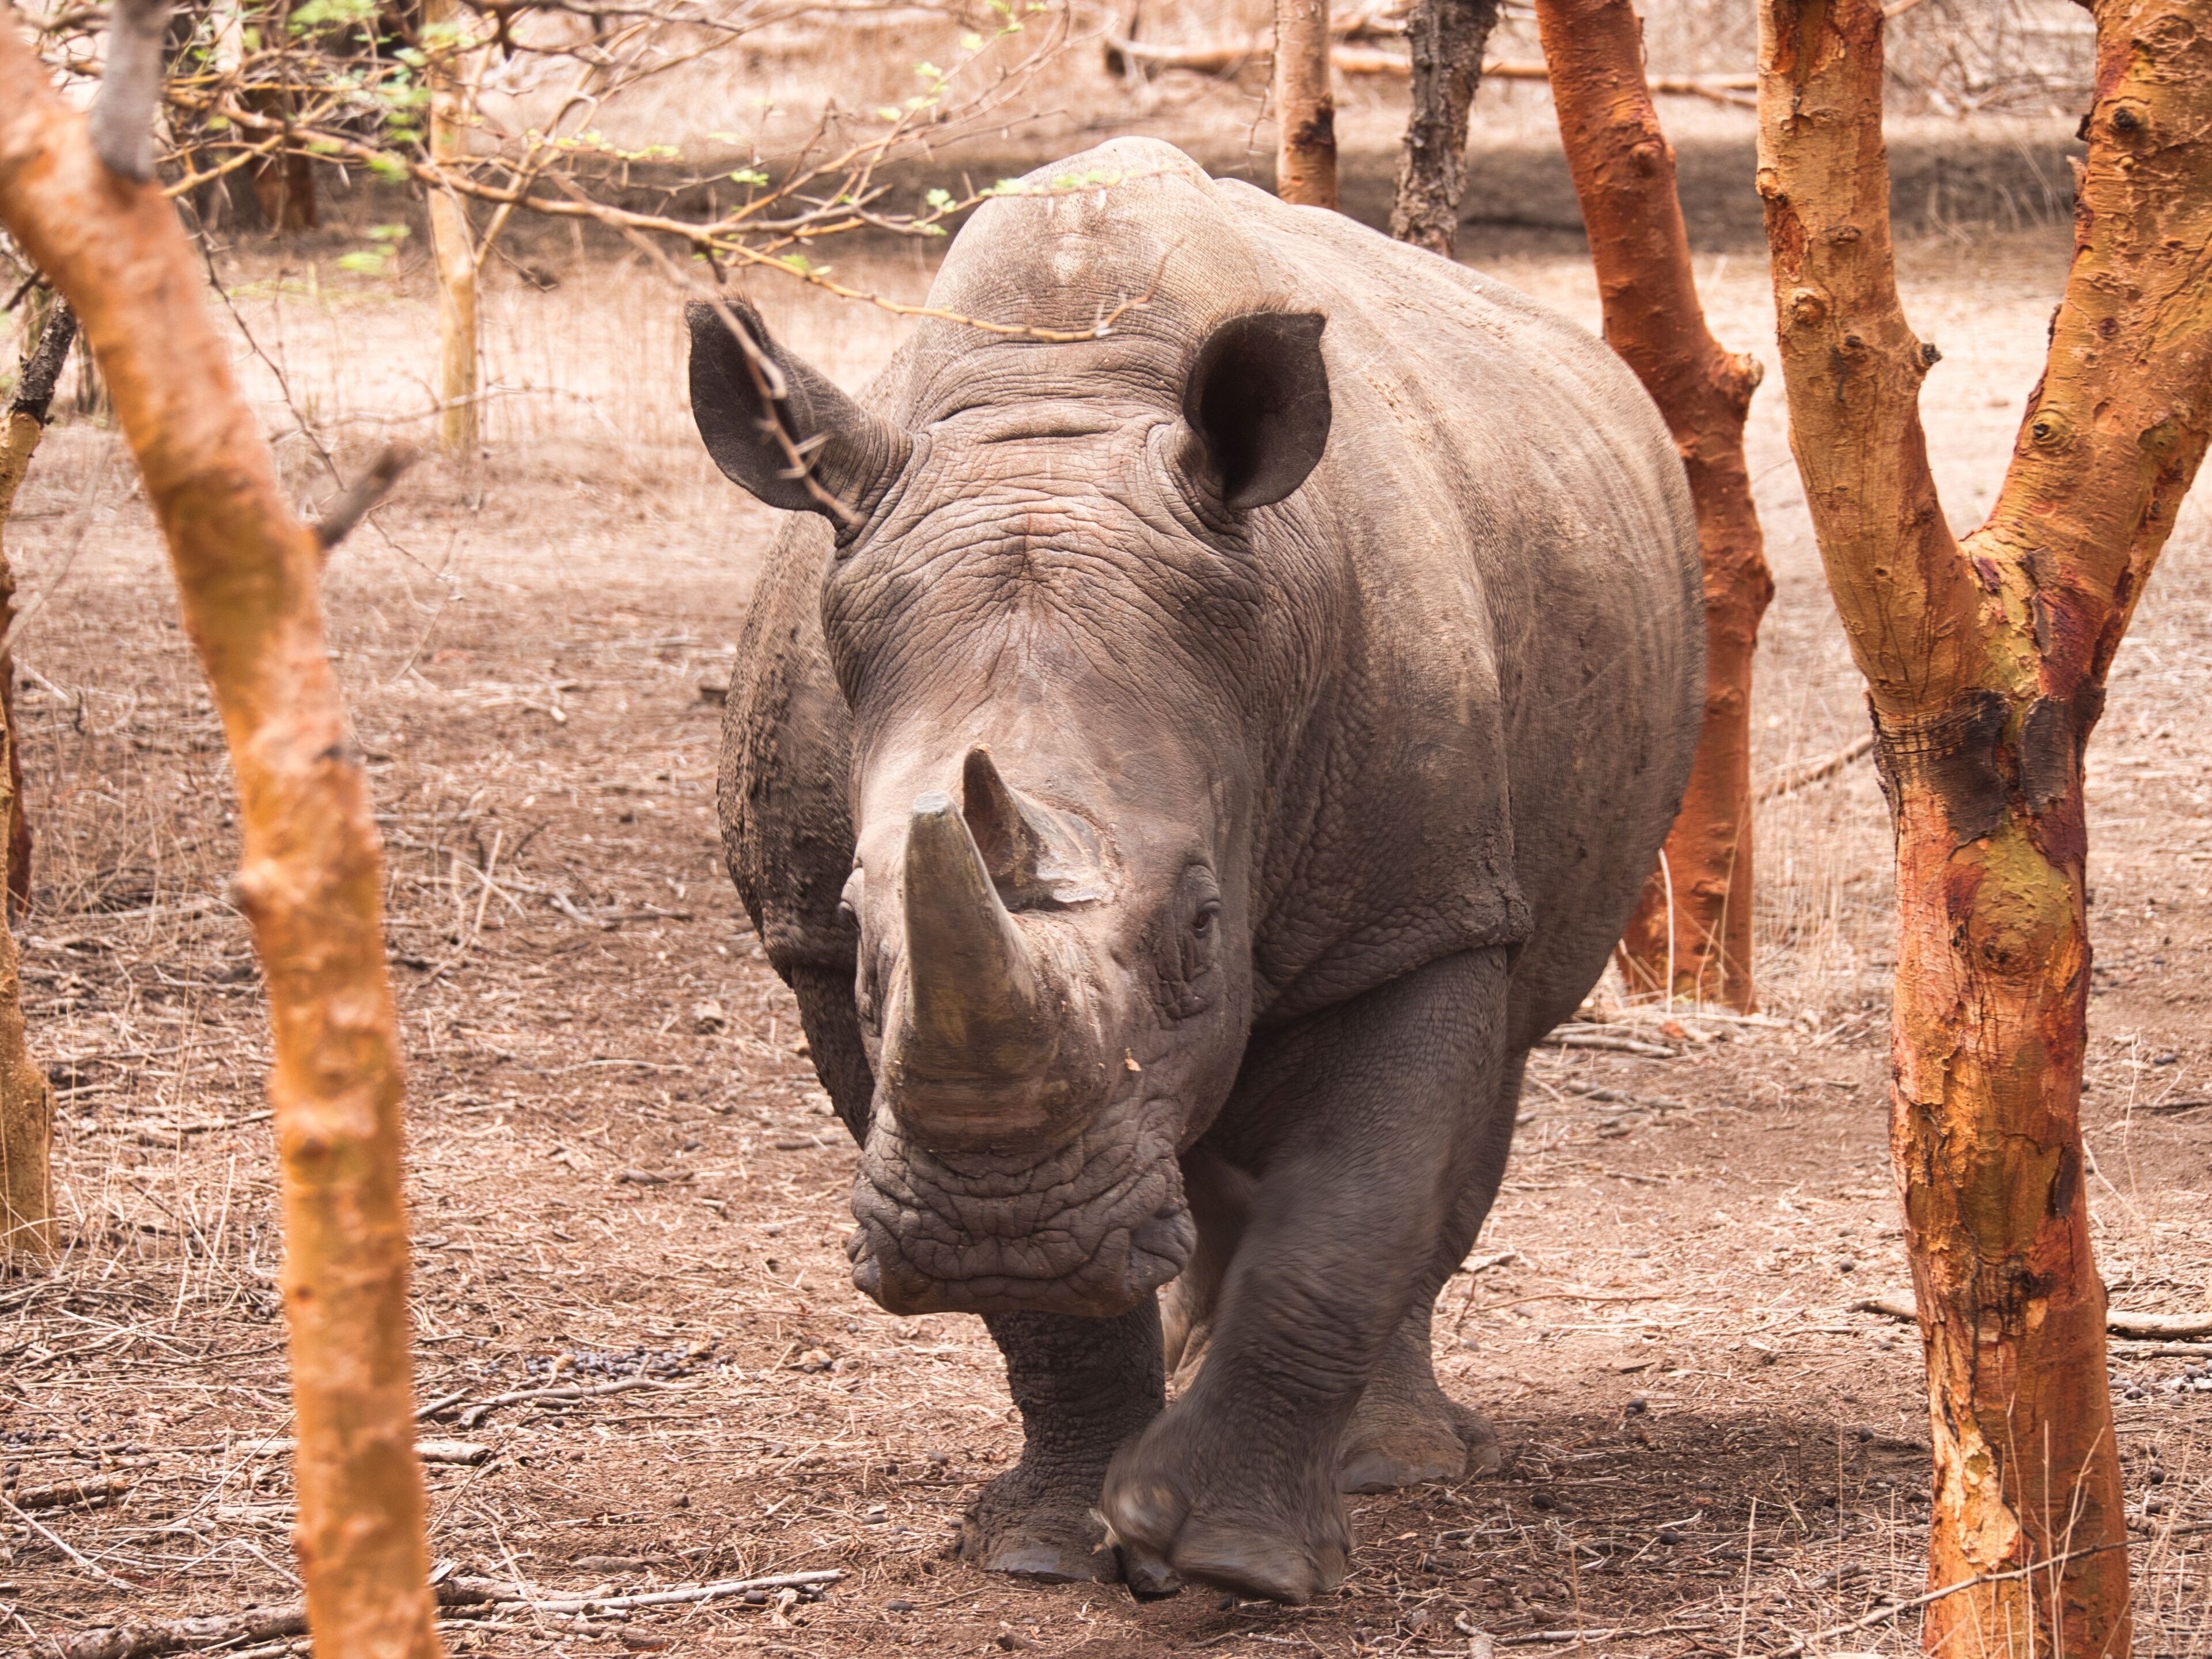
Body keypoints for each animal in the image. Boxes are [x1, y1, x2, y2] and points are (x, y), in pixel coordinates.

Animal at [690, 137, 1701, 1605]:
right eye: (866, 931)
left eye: (1203, 928)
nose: (1001, 1226)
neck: (1056, 416)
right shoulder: (811, 956)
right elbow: (1052, 1296)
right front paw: (1050, 1543)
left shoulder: (1419, 908)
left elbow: (1352, 1210)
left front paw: (1229, 1553)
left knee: (1482, 1075)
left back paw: (1390, 1463)